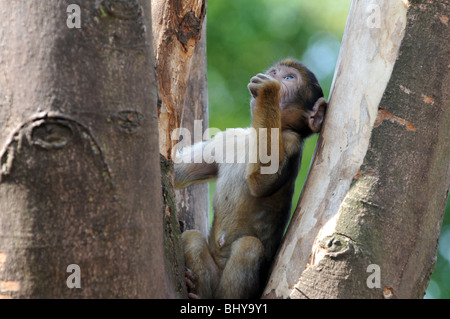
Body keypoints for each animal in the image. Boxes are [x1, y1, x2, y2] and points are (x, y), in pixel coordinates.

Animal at [174, 58, 326, 300]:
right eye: (275, 71)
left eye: (289, 77)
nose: (274, 76)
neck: (253, 134)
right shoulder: (226, 139)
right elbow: (179, 172)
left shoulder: (291, 140)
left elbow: (262, 180)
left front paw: (268, 91)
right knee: (193, 239)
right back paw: (194, 288)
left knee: (249, 247)